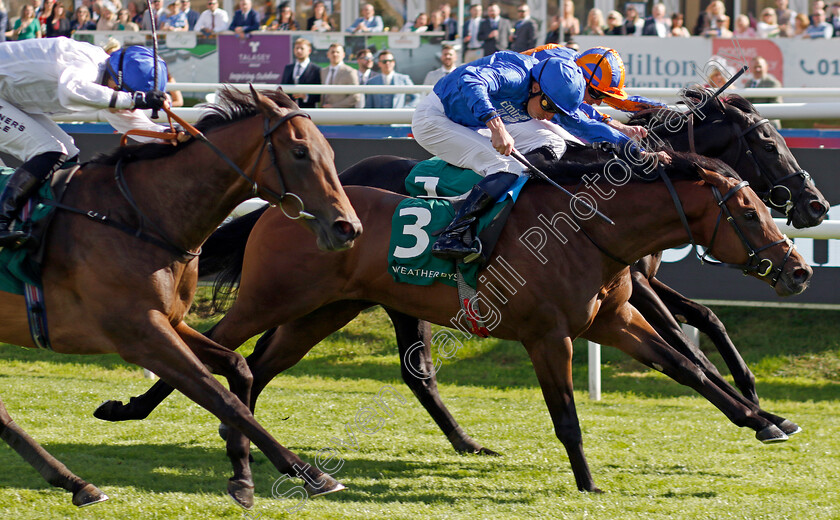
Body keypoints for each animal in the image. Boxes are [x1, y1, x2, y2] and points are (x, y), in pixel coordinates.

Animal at [0, 88, 358, 508]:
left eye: (330, 152)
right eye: (300, 152)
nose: (348, 228)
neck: (138, 217)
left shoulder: (170, 321)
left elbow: (238, 367)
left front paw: (242, 472)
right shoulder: (140, 335)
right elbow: (220, 397)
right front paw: (309, 472)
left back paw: (76, 483)